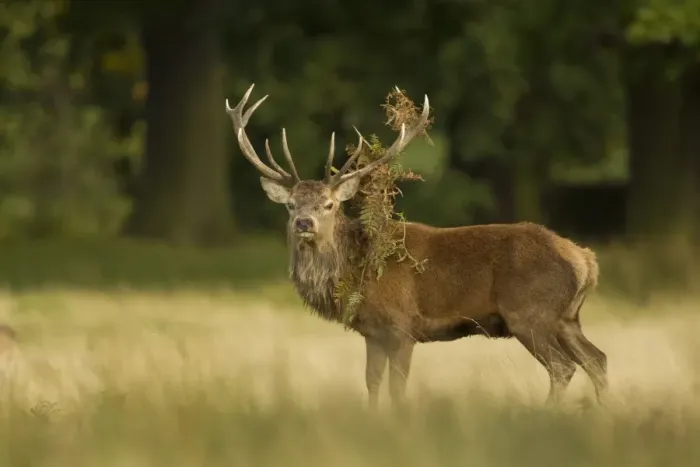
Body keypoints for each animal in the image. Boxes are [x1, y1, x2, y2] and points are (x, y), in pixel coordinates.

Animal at [225, 84, 608, 408]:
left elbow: (397, 388)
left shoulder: (402, 325)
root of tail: (585, 259)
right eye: (291, 205)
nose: (304, 223)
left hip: (530, 312)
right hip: (566, 318)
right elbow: (372, 384)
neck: (356, 271)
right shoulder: (373, 332)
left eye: (329, 204)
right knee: (597, 359)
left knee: (563, 367)